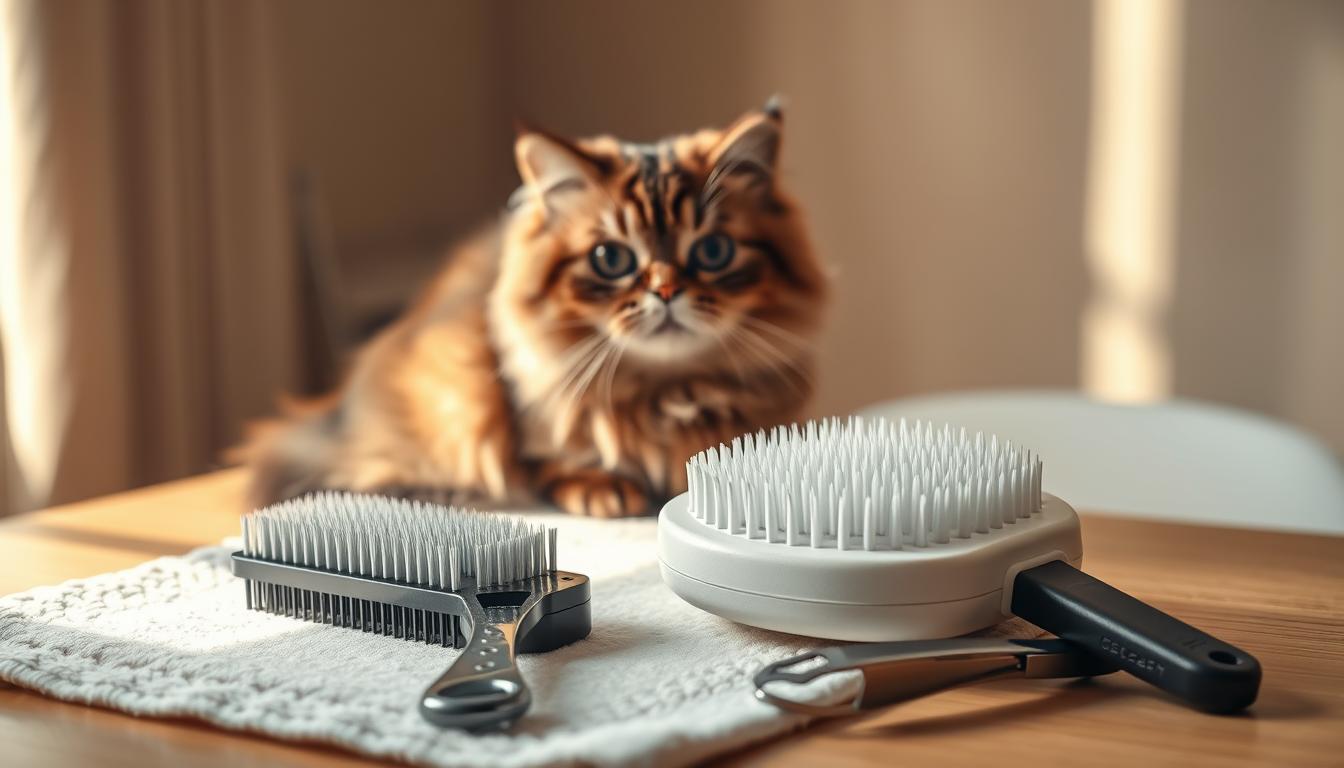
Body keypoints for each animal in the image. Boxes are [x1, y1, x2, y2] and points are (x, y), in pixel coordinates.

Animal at [243, 102, 827, 519]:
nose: (665, 291)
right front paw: (603, 489)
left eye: (713, 252)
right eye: (612, 258)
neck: (667, 394)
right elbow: (549, 464)